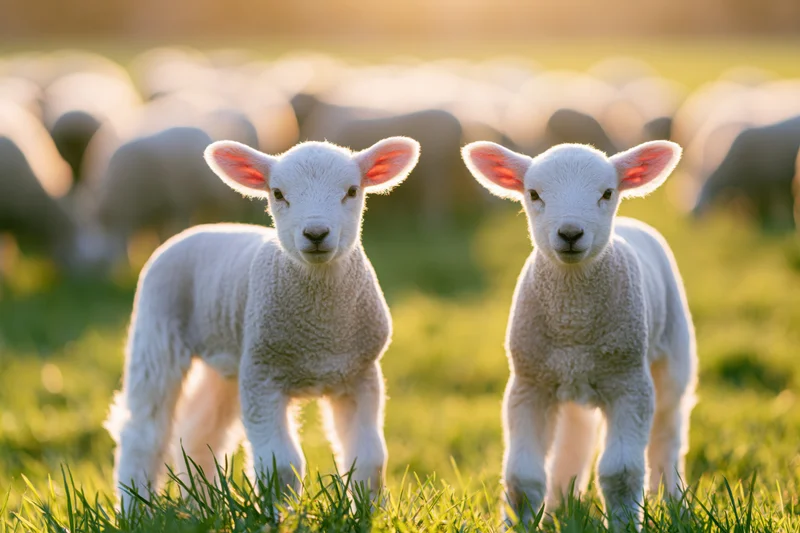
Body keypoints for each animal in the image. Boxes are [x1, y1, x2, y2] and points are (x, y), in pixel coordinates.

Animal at [105, 136, 420, 510]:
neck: (321, 334)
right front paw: (280, 514)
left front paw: (369, 512)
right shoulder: (262, 377)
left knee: (200, 432)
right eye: (278, 193)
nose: (316, 233)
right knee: (143, 431)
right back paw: (136, 507)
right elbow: (282, 465)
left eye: (352, 191)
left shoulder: (359, 376)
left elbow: (371, 458)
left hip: (228, 361)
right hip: (156, 330)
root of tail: (193, 230)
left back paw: (201, 504)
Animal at [461, 140, 697, 529]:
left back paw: (670, 499)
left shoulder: (630, 384)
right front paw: (519, 524)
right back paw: (560, 502)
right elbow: (522, 477)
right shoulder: (529, 386)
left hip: (673, 356)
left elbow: (621, 474)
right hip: (569, 380)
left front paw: (624, 525)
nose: (570, 234)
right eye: (534, 194)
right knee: (575, 437)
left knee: (668, 433)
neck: (573, 323)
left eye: (607, 193)